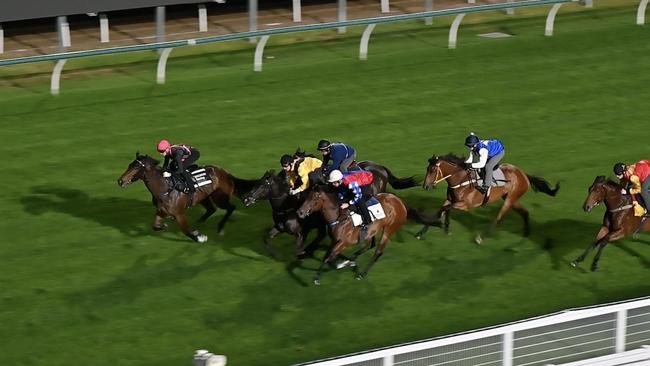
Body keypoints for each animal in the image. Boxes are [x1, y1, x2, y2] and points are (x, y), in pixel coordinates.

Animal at [116, 152, 258, 242]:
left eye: (136, 167)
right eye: (130, 165)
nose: (120, 181)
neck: (164, 188)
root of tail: (226, 173)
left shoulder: (180, 214)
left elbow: (186, 231)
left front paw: (200, 237)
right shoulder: (161, 211)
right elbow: (155, 226)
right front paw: (164, 225)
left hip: (220, 198)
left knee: (230, 207)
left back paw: (220, 228)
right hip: (204, 198)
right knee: (211, 209)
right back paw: (199, 223)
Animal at [418, 153, 560, 242]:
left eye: (432, 170)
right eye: (427, 168)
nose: (425, 186)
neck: (460, 180)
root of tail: (524, 174)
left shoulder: (465, 205)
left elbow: (446, 209)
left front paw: (446, 228)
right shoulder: (449, 200)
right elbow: (440, 210)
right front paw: (422, 233)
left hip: (509, 200)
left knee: (498, 217)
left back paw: (481, 238)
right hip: (511, 199)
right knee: (525, 212)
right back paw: (526, 233)